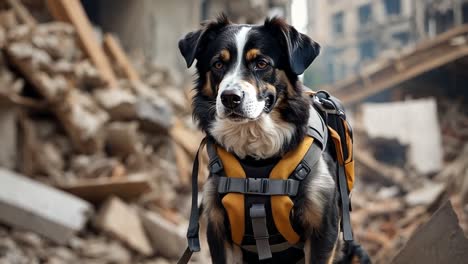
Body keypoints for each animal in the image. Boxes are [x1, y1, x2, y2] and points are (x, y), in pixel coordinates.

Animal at [177, 14, 372, 264]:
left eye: (261, 63)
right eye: (218, 64)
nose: (230, 98)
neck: (257, 159)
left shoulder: (323, 227)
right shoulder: (218, 229)